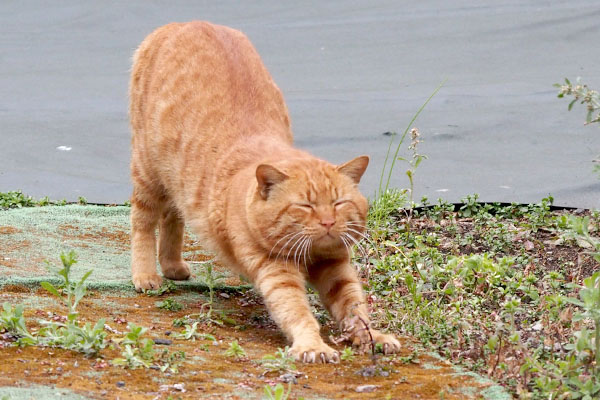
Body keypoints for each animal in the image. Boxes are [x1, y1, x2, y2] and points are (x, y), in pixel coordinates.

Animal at [129, 21, 400, 362]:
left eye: (339, 203)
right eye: (305, 206)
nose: (327, 222)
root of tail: (184, 22)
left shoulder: (335, 266)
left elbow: (354, 308)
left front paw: (371, 337)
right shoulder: (275, 269)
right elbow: (297, 311)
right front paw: (312, 345)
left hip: (174, 182)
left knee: (172, 216)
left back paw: (172, 265)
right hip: (147, 171)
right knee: (143, 222)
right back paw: (146, 275)